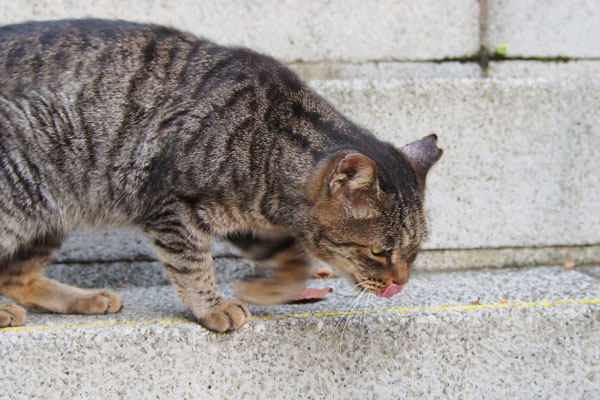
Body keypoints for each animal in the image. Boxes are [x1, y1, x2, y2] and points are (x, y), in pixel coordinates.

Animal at [0, 19, 440, 332]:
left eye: (413, 252)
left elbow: (292, 258)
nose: (400, 283)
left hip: (51, 214)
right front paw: (213, 307)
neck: (269, 147)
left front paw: (268, 288)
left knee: (16, 276)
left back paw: (84, 298)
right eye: (378, 251)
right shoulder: (173, 210)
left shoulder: (247, 218)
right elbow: (193, 266)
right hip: (20, 193)